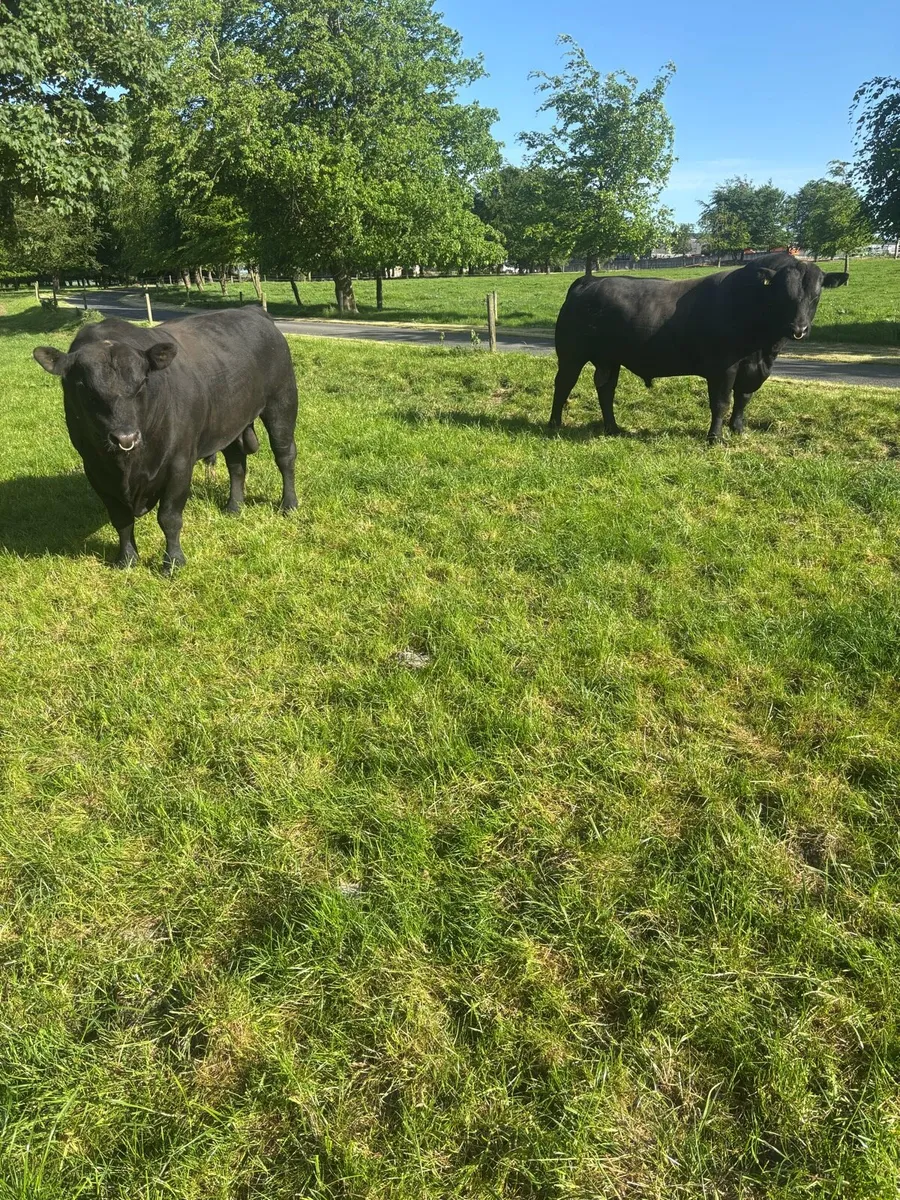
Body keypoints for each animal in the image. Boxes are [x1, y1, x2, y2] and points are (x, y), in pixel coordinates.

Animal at [33, 307, 298, 573]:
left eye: (142, 383)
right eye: (84, 388)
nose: (125, 437)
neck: (128, 468)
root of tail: (253, 310)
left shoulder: (179, 465)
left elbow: (169, 518)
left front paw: (173, 562)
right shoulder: (95, 470)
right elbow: (121, 519)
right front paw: (126, 559)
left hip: (282, 402)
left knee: (284, 455)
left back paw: (289, 504)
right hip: (230, 421)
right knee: (236, 463)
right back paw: (234, 507)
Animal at [550, 253, 849, 443]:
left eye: (816, 295)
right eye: (782, 294)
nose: (798, 329)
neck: (763, 348)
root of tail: (590, 280)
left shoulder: (753, 369)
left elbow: (743, 399)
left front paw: (738, 430)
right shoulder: (723, 368)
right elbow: (721, 402)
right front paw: (715, 438)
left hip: (609, 358)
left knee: (605, 387)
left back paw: (613, 427)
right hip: (571, 354)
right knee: (564, 383)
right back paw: (555, 423)